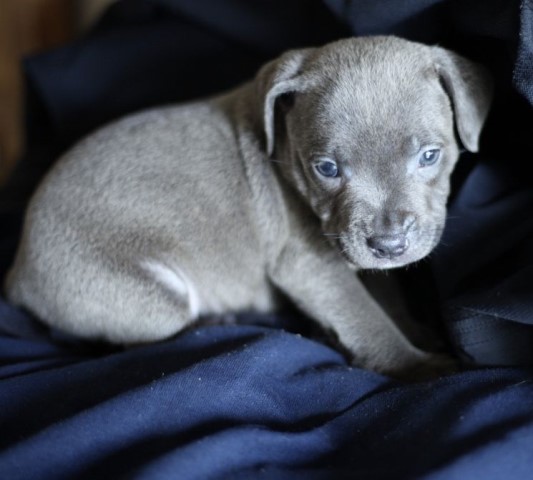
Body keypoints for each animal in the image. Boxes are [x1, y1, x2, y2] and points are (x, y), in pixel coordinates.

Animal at [4, 35, 492, 376]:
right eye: (327, 168)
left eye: (429, 155)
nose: (388, 245)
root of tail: (19, 269)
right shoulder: (309, 265)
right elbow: (365, 316)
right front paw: (418, 365)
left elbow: (385, 297)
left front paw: (417, 331)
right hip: (145, 295)